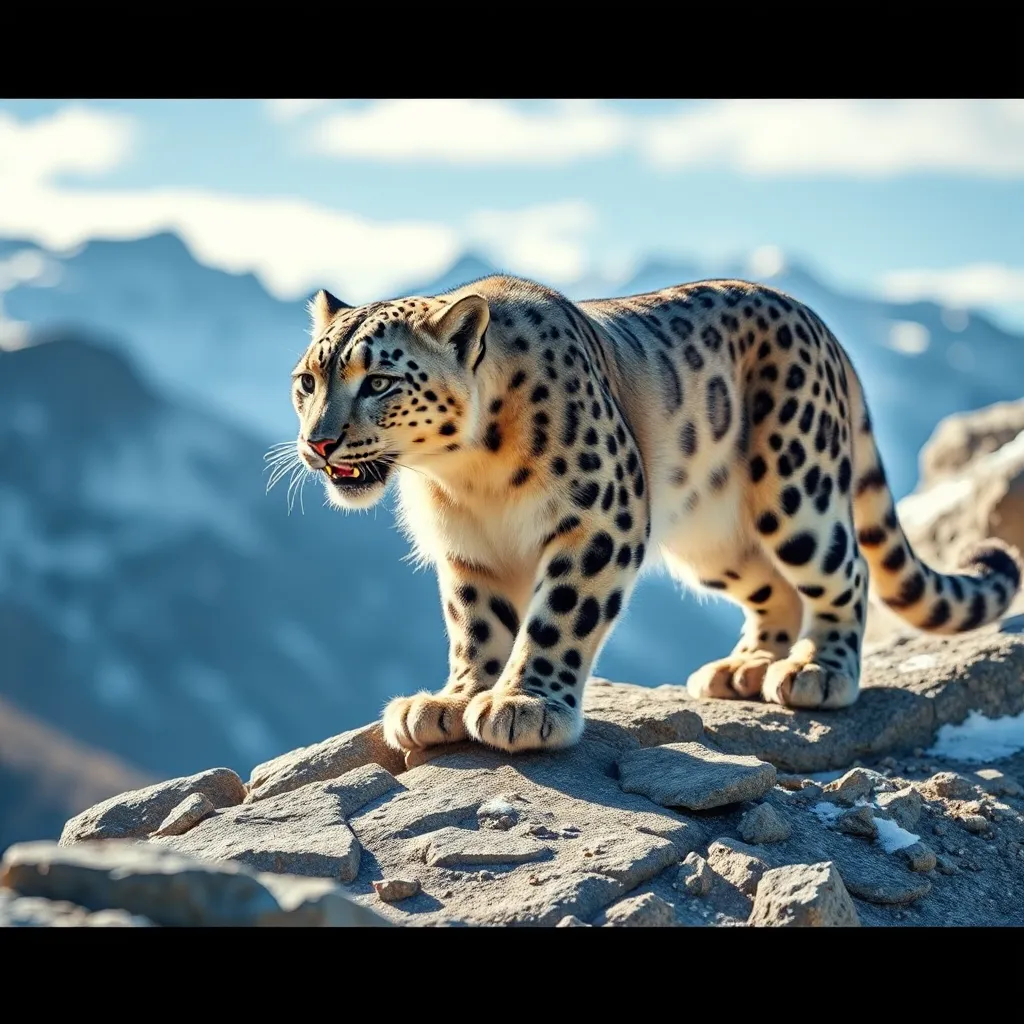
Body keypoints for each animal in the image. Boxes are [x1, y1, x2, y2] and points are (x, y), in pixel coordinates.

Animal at [289, 276, 1021, 755]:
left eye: (379, 381)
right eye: (308, 380)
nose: (318, 443)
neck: (463, 477)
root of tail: (822, 326)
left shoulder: (598, 517)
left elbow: (558, 616)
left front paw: (524, 706)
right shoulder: (468, 551)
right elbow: (476, 627)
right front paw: (453, 700)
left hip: (798, 490)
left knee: (844, 573)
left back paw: (816, 671)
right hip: (712, 537)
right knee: (775, 588)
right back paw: (743, 668)